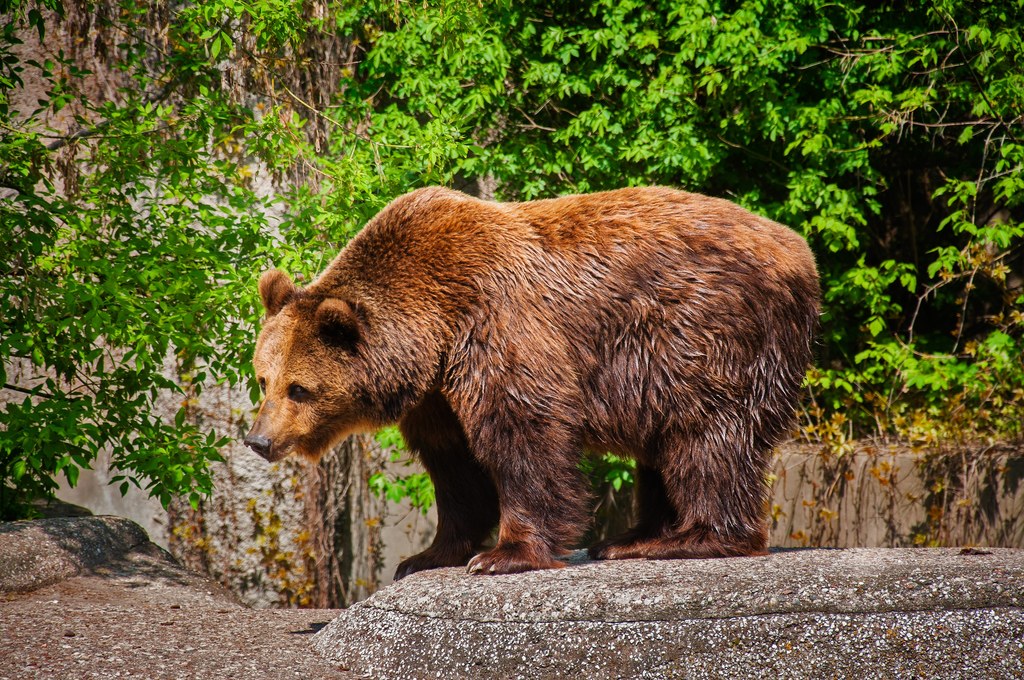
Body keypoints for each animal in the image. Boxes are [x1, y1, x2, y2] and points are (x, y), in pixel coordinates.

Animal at [243, 186, 819, 577]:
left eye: (300, 388)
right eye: (263, 379)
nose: (259, 440)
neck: (434, 327)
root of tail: (800, 253)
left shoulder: (499, 323)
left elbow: (523, 430)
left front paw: (504, 553)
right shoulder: (437, 394)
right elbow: (454, 466)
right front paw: (428, 555)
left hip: (705, 335)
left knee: (705, 437)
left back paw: (685, 538)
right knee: (662, 446)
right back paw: (635, 535)